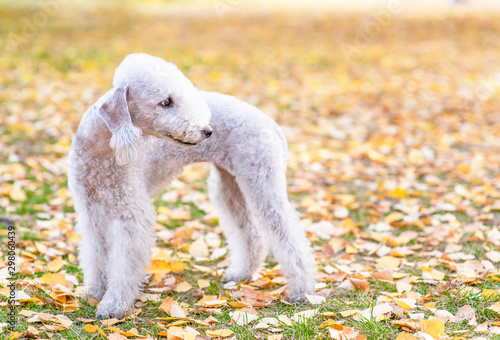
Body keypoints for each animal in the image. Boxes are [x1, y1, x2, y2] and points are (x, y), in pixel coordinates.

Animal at [68, 53, 314, 318]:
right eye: (166, 102)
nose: (207, 131)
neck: (101, 151)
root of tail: (270, 122)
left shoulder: (132, 212)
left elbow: (124, 263)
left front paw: (114, 305)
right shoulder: (91, 210)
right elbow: (95, 252)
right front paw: (95, 291)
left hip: (262, 180)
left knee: (288, 235)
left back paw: (303, 290)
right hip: (229, 186)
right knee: (251, 234)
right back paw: (240, 274)